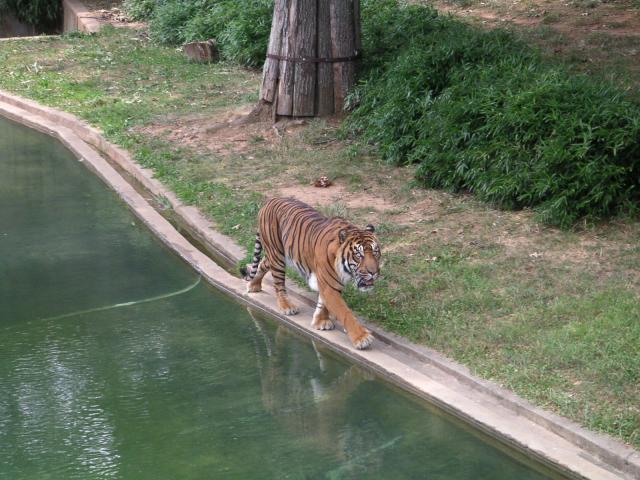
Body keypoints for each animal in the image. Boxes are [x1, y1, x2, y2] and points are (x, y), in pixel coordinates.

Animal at [240, 197, 380, 350]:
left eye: (375, 252)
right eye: (359, 255)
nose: (374, 272)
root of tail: (270, 200)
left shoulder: (332, 283)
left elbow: (323, 303)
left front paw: (320, 321)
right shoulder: (329, 285)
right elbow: (344, 312)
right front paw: (362, 338)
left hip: (275, 254)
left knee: (262, 264)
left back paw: (253, 285)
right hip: (277, 255)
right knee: (278, 283)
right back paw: (286, 306)